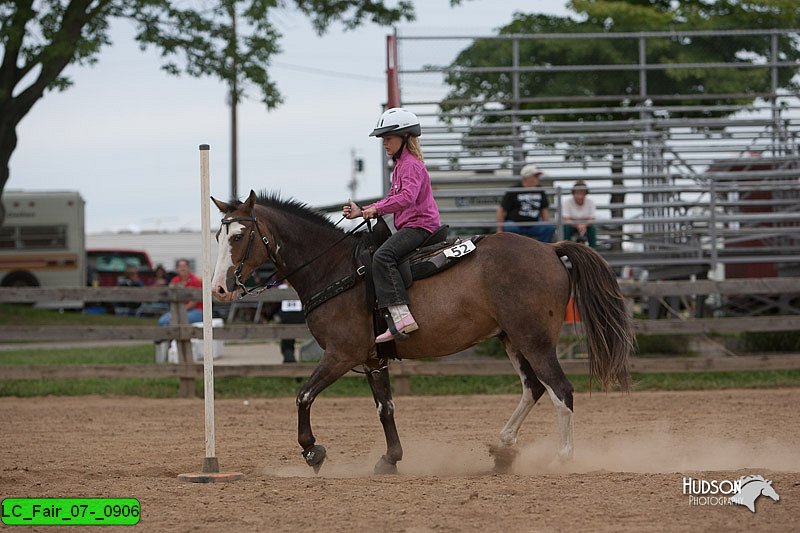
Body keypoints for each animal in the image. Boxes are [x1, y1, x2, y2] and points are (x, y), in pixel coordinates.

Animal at [209, 191, 636, 474]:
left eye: (238, 236)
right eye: (217, 236)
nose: (219, 289)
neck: (335, 269)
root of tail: (550, 250)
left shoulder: (342, 354)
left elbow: (303, 395)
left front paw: (313, 451)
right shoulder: (372, 359)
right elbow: (385, 408)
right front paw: (390, 459)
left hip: (535, 339)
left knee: (560, 390)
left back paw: (562, 459)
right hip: (511, 339)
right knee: (533, 388)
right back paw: (503, 450)